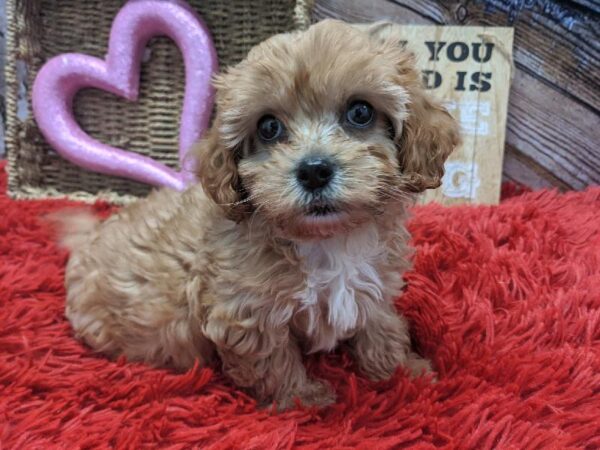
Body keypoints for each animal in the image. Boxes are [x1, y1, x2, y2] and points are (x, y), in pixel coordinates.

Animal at [58, 20, 460, 408]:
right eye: (268, 127)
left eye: (360, 112)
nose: (314, 171)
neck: (327, 239)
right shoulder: (247, 315)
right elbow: (273, 362)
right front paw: (303, 399)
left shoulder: (375, 283)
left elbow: (381, 326)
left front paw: (404, 373)